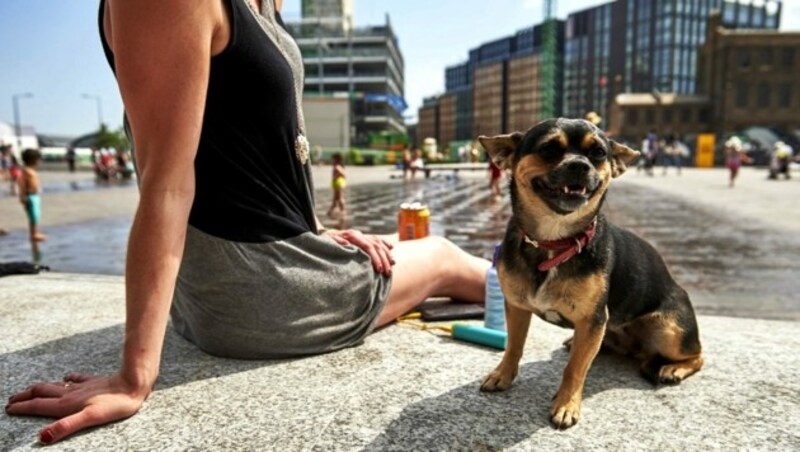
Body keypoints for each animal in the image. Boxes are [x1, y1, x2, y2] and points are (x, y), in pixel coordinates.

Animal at [478, 118, 704, 430]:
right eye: (549, 149)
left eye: (598, 153)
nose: (579, 165)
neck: (554, 242)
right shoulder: (517, 307)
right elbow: (513, 345)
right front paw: (502, 375)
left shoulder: (592, 319)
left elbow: (575, 369)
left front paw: (566, 405)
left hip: (670, 332)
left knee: (698, 355)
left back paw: (673, 369)